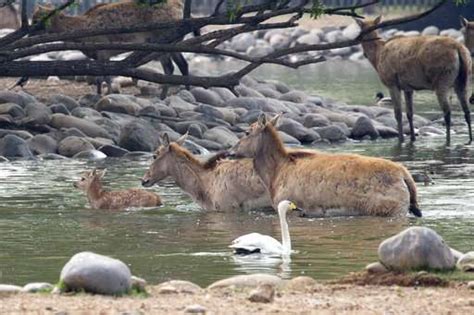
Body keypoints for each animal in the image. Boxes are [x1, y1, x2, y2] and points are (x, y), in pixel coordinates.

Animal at [31, 0, 189, 97]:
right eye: (33, 17)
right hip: (173, 43)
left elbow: (105, 76)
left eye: (37, 20)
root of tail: (179, 5)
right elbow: (99, 77)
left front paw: (109, 94)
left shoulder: (103, 51)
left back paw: (163, 96)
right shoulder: (100, 55)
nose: (28, 32)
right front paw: (99, 94)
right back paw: (185, 90)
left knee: (169, 67)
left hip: (163, 40)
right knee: (182, 64)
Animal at [230, 114, 422, 220]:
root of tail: (405, 175)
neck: (274, 176)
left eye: (246, 132)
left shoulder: (293, 207)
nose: (230, 151)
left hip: (392, 209)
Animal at [358, 16, 472, 145]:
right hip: (463, 80)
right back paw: (469, 140)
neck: (377, 58)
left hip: (442, 79)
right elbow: (409, 113)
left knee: (447, 112)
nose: (364, 54)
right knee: (467, 111)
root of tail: (459, 49)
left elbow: (398, 113)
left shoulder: (392, 82)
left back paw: (447, 141)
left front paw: (401, 139)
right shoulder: (408, 87)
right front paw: (412, 138)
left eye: (360, 30)